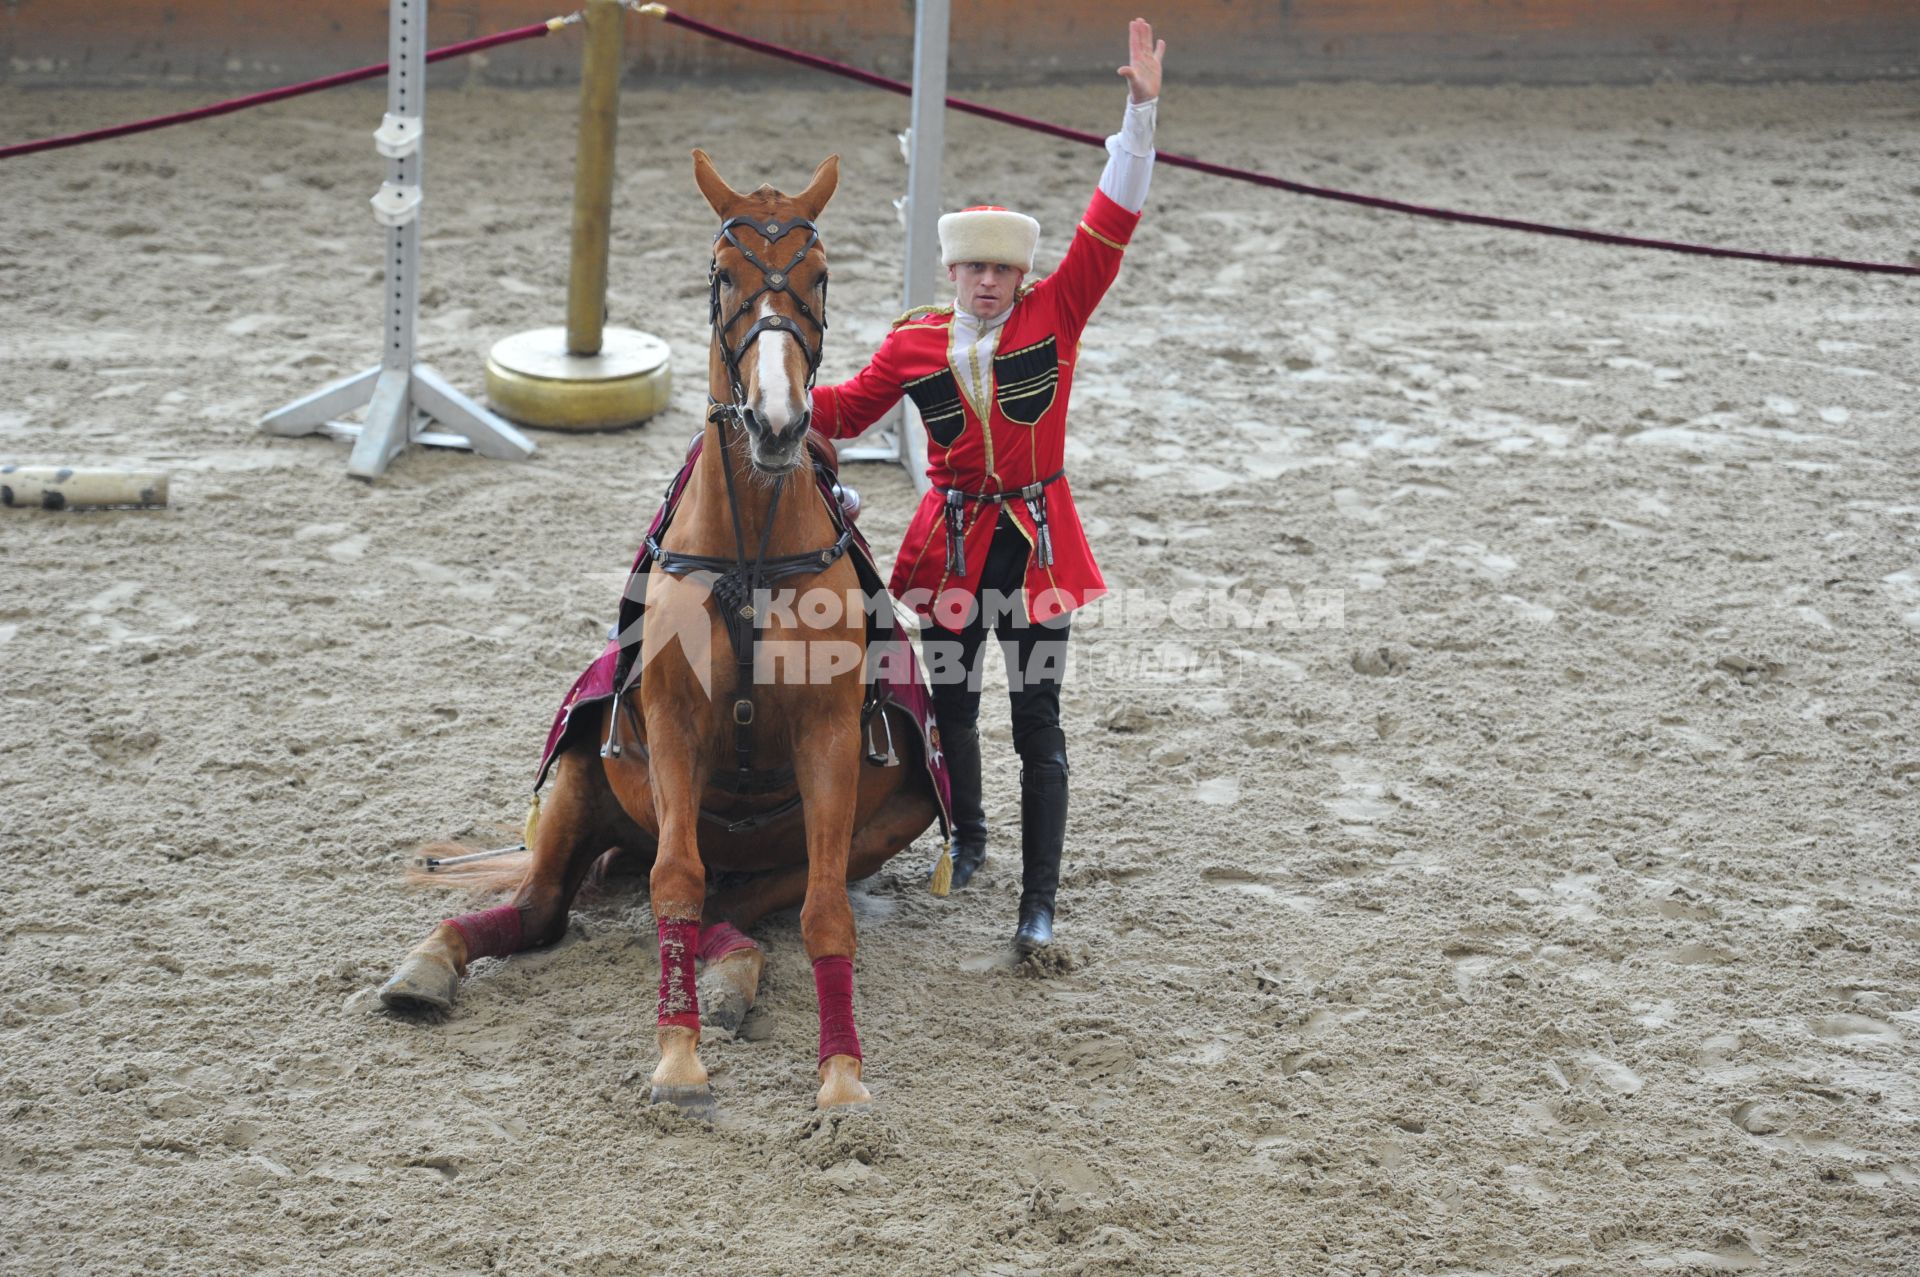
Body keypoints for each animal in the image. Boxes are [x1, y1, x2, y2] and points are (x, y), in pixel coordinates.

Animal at [372, 149, 936, 1113]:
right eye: (721, 275)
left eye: (822, 276)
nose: (778, 422)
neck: (749, 560)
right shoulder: (673, 724)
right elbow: (675, 882)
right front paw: (679, 1060)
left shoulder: (828, 733)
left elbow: (825, 910)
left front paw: (841, 1077)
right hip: (576, 780)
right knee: (546, 906)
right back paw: (429, 962)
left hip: (888, 816)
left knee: (732, 914)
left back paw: (733, 976)